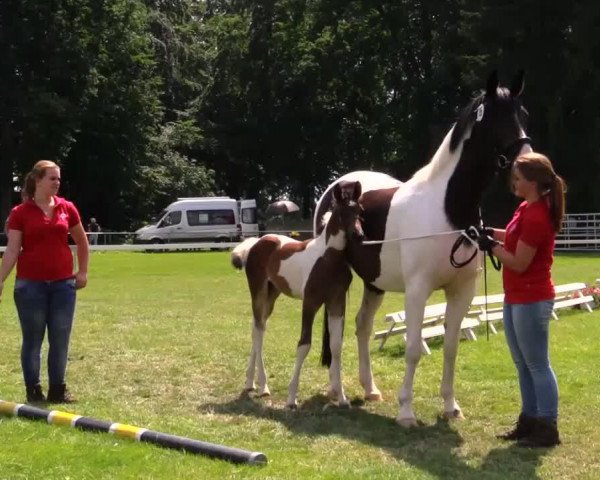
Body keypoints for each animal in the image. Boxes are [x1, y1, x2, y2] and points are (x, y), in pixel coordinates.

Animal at [231, 182, 360, 406]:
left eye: (360, 210)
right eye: (343, 212)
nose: (360, 236)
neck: (328, 258)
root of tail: (256, 243)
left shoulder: (337, 302)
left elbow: (336, 346)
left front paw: (343, 398)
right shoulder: (310, 302)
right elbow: (304, 345)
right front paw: (291, 398)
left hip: (272, 294)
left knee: (257, 327)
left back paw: (250, 382)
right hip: (258, 291)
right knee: (259, 330)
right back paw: (263, 386)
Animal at [314, 72, 528, 428]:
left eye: (522, 115)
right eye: (496, 119)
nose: (527, 160)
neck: (447, 209)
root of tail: (334, 188)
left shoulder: (462, 291)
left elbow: (452, 347)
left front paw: (451, 407)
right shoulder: (417, 291)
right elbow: (413, 347)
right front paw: (406, 412)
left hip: (374, 283)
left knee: (362, 326)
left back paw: (370, 389)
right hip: (338, 279)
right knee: (336, 330)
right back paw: (337, 391)